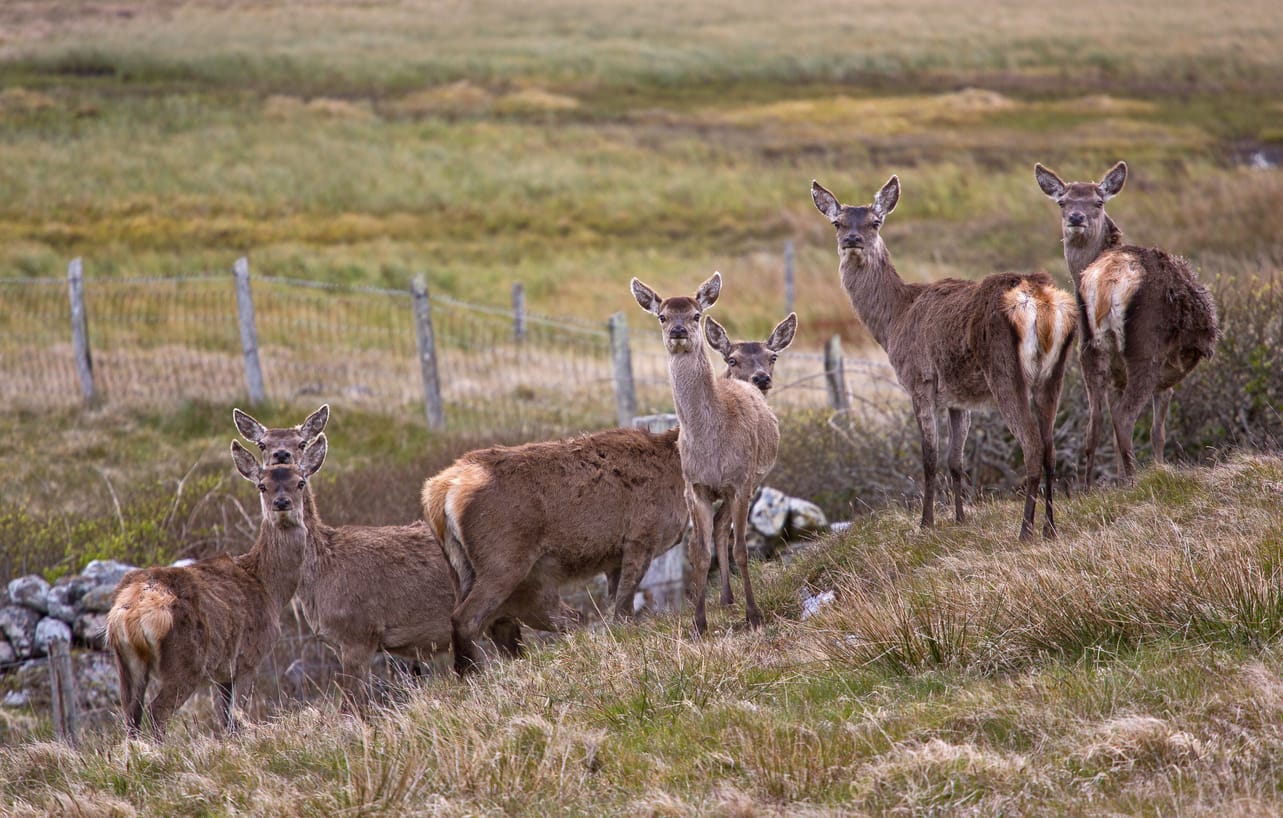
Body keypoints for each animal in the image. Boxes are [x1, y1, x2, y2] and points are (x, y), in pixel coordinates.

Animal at [106, 435, 327, 739]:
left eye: (300, 482)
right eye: (262, 486)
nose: (281, 503)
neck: (270, 589)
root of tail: (131, 612)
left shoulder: (221, 673)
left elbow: (225, 720)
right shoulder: (249, 658)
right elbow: (236, 716)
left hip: (126, 661)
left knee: (130, 716)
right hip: (185, 661)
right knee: (157, 712)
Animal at [631, 272, 783, 635]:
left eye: (696, 314)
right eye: (662, 316)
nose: (678, 331)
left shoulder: (740, 482)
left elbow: (741, 549)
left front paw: (754, 615)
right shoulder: (694, 486)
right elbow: (698, 553)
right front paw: (698, 623)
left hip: (752, 481)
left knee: (724, 529)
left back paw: (733, 600)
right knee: (716, 529)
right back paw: (725, 599)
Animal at [812, 176, 1078, 540]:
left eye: (875, 222)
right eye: (837, 223)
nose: (853, 240)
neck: (894, 320)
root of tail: (1038, 299)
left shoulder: (920, 379)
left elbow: (930, 456)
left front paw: (926, 522)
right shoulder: (958, 396)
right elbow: (956, 459)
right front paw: (960, 518)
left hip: (1005, 371)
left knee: (1033, 446)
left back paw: (1025, 530)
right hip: (1055, 373)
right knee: (1050, 448)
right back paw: (1050, 528)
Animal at [1034, 161, 1220, 484]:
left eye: (1098, 201)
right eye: (1062, 202)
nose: (1076, 217)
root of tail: (1107, 282)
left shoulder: (1115, 374)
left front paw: (1117, 480)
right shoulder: (1166, 374)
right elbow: (1158, 431)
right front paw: (1157, 469)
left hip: (1088, 349)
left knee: (1094, 422)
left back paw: (1088, 486)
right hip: (1145, 348)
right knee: (1124, 417)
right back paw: (1135, 480)